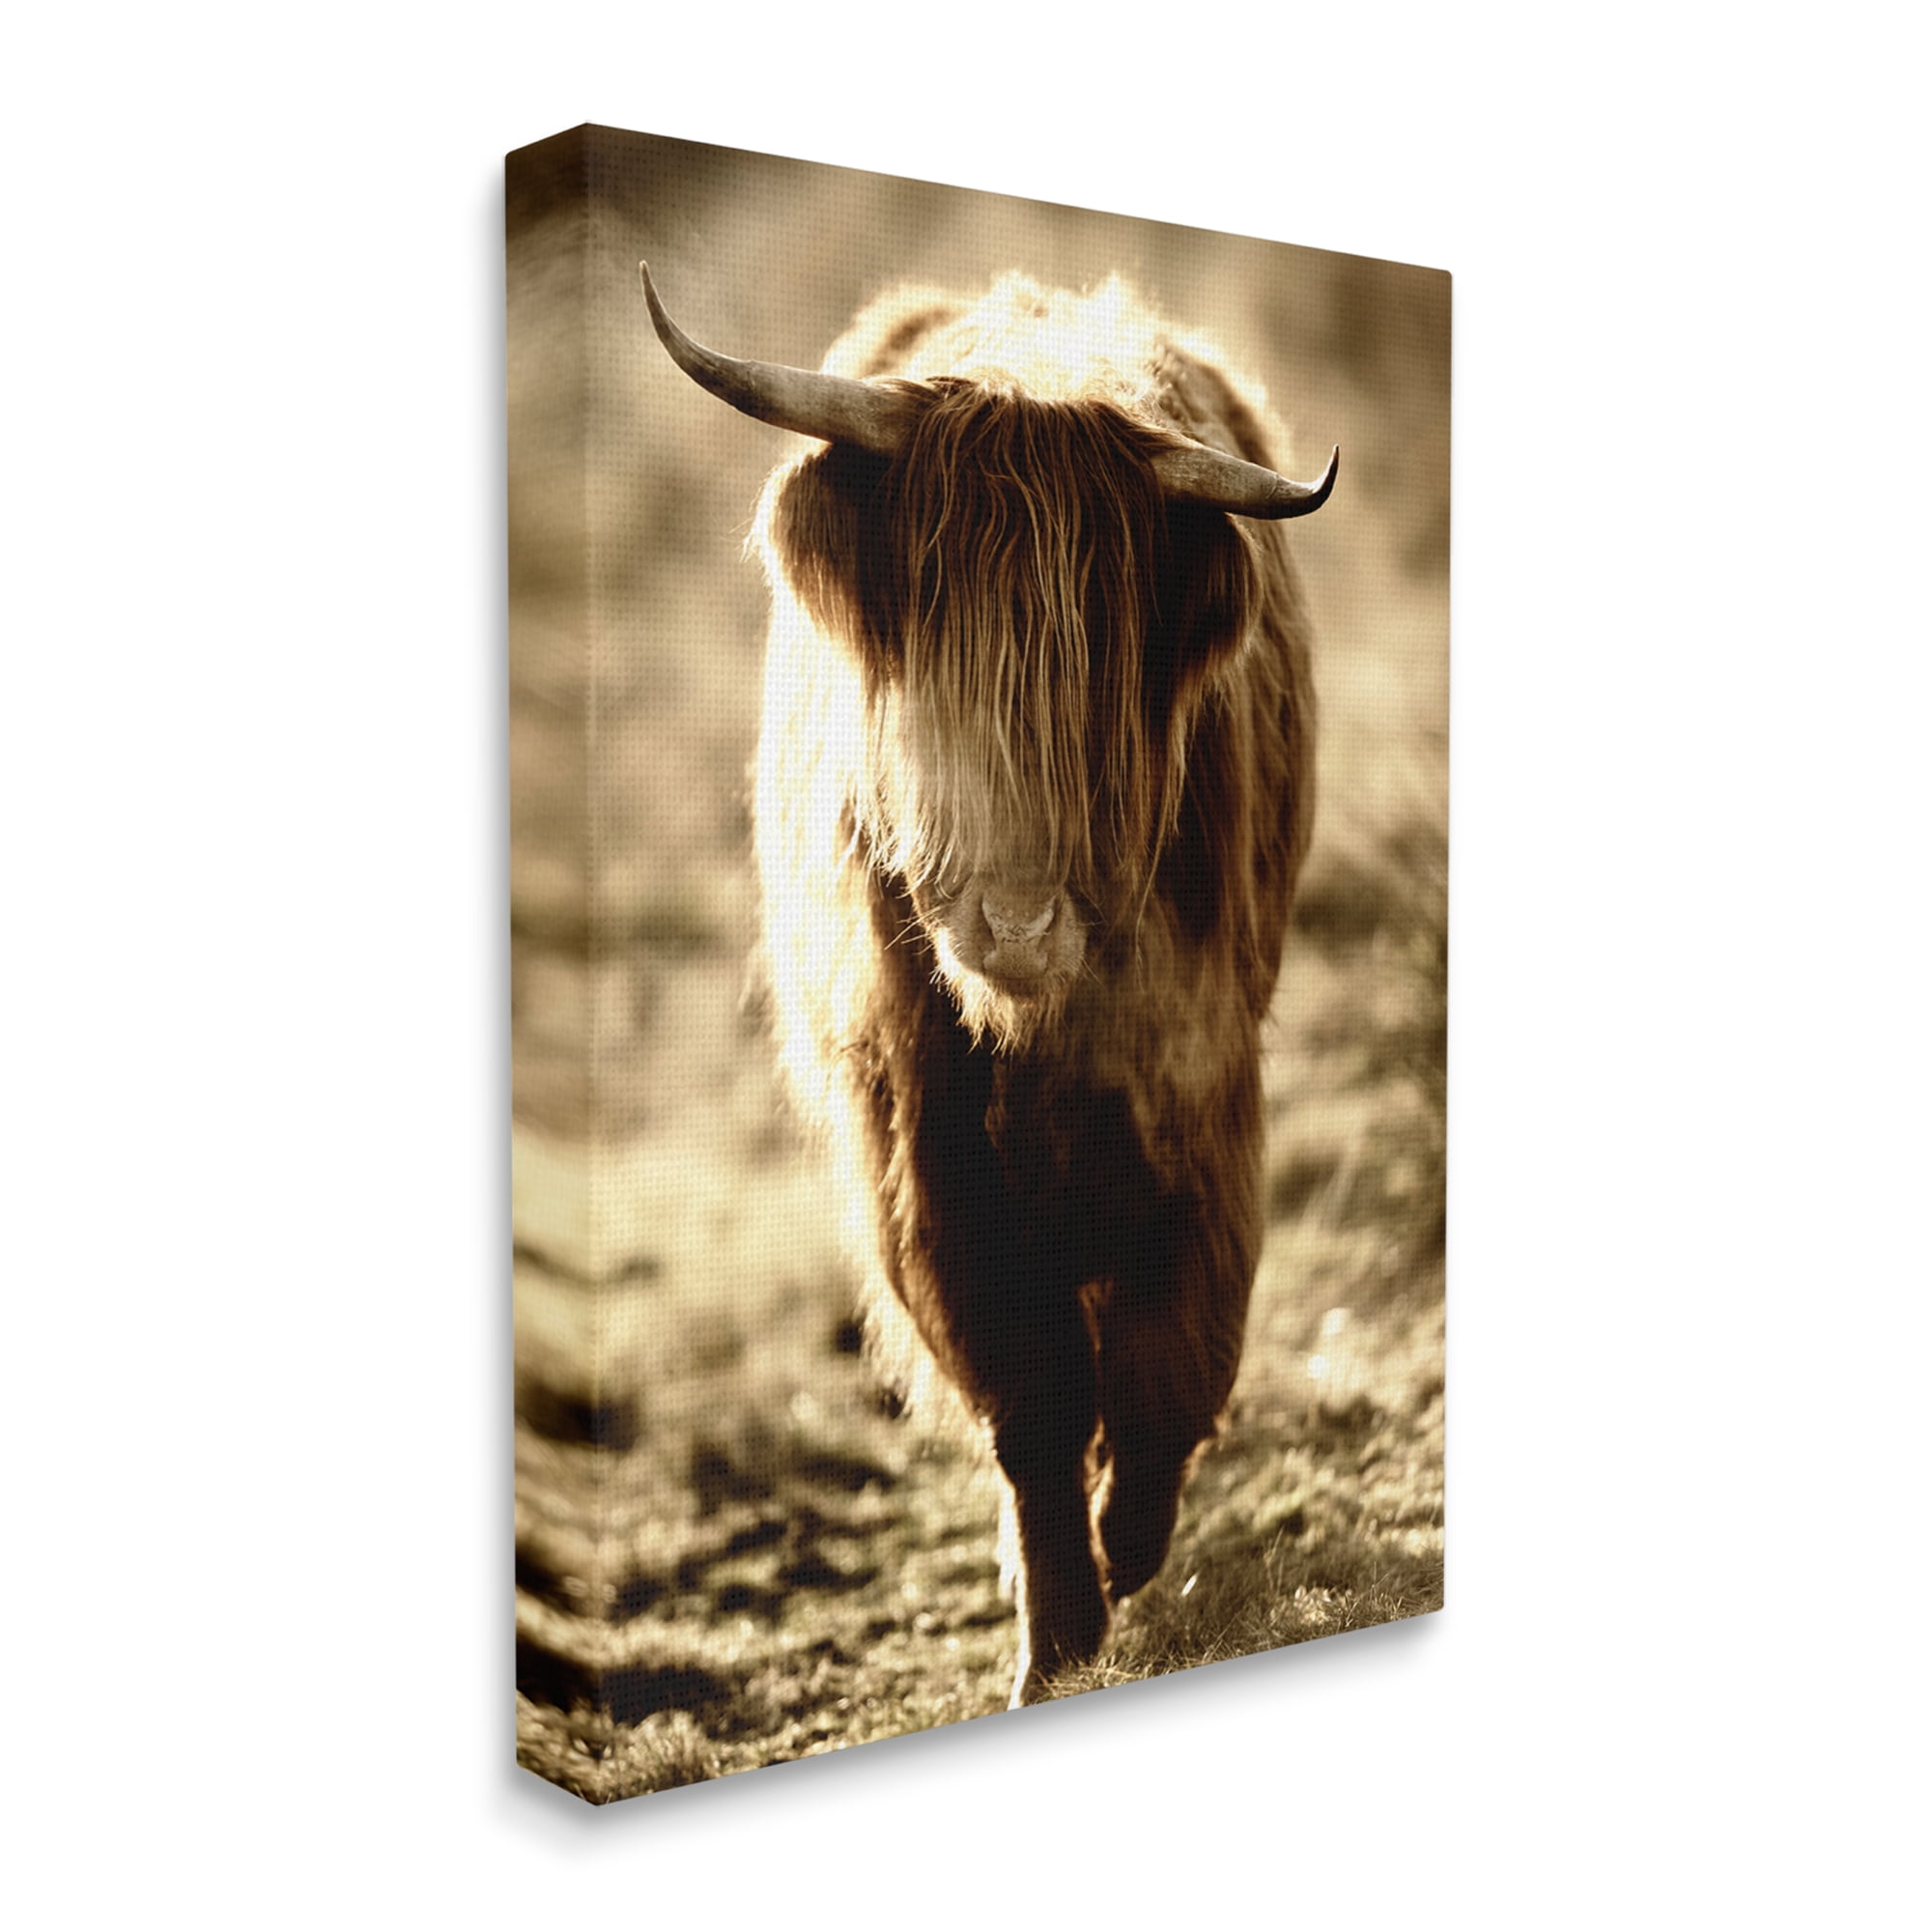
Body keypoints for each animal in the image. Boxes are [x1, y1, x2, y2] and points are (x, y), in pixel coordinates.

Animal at [641, 262, 1336, 1706]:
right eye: (935, 661)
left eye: (1098, 676)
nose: (1013, 919)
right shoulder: (924, 1137)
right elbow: (1032, 1394)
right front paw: (1057, 1633)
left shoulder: (1200, 1092)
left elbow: (1170, 1347)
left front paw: (1131, 1546)